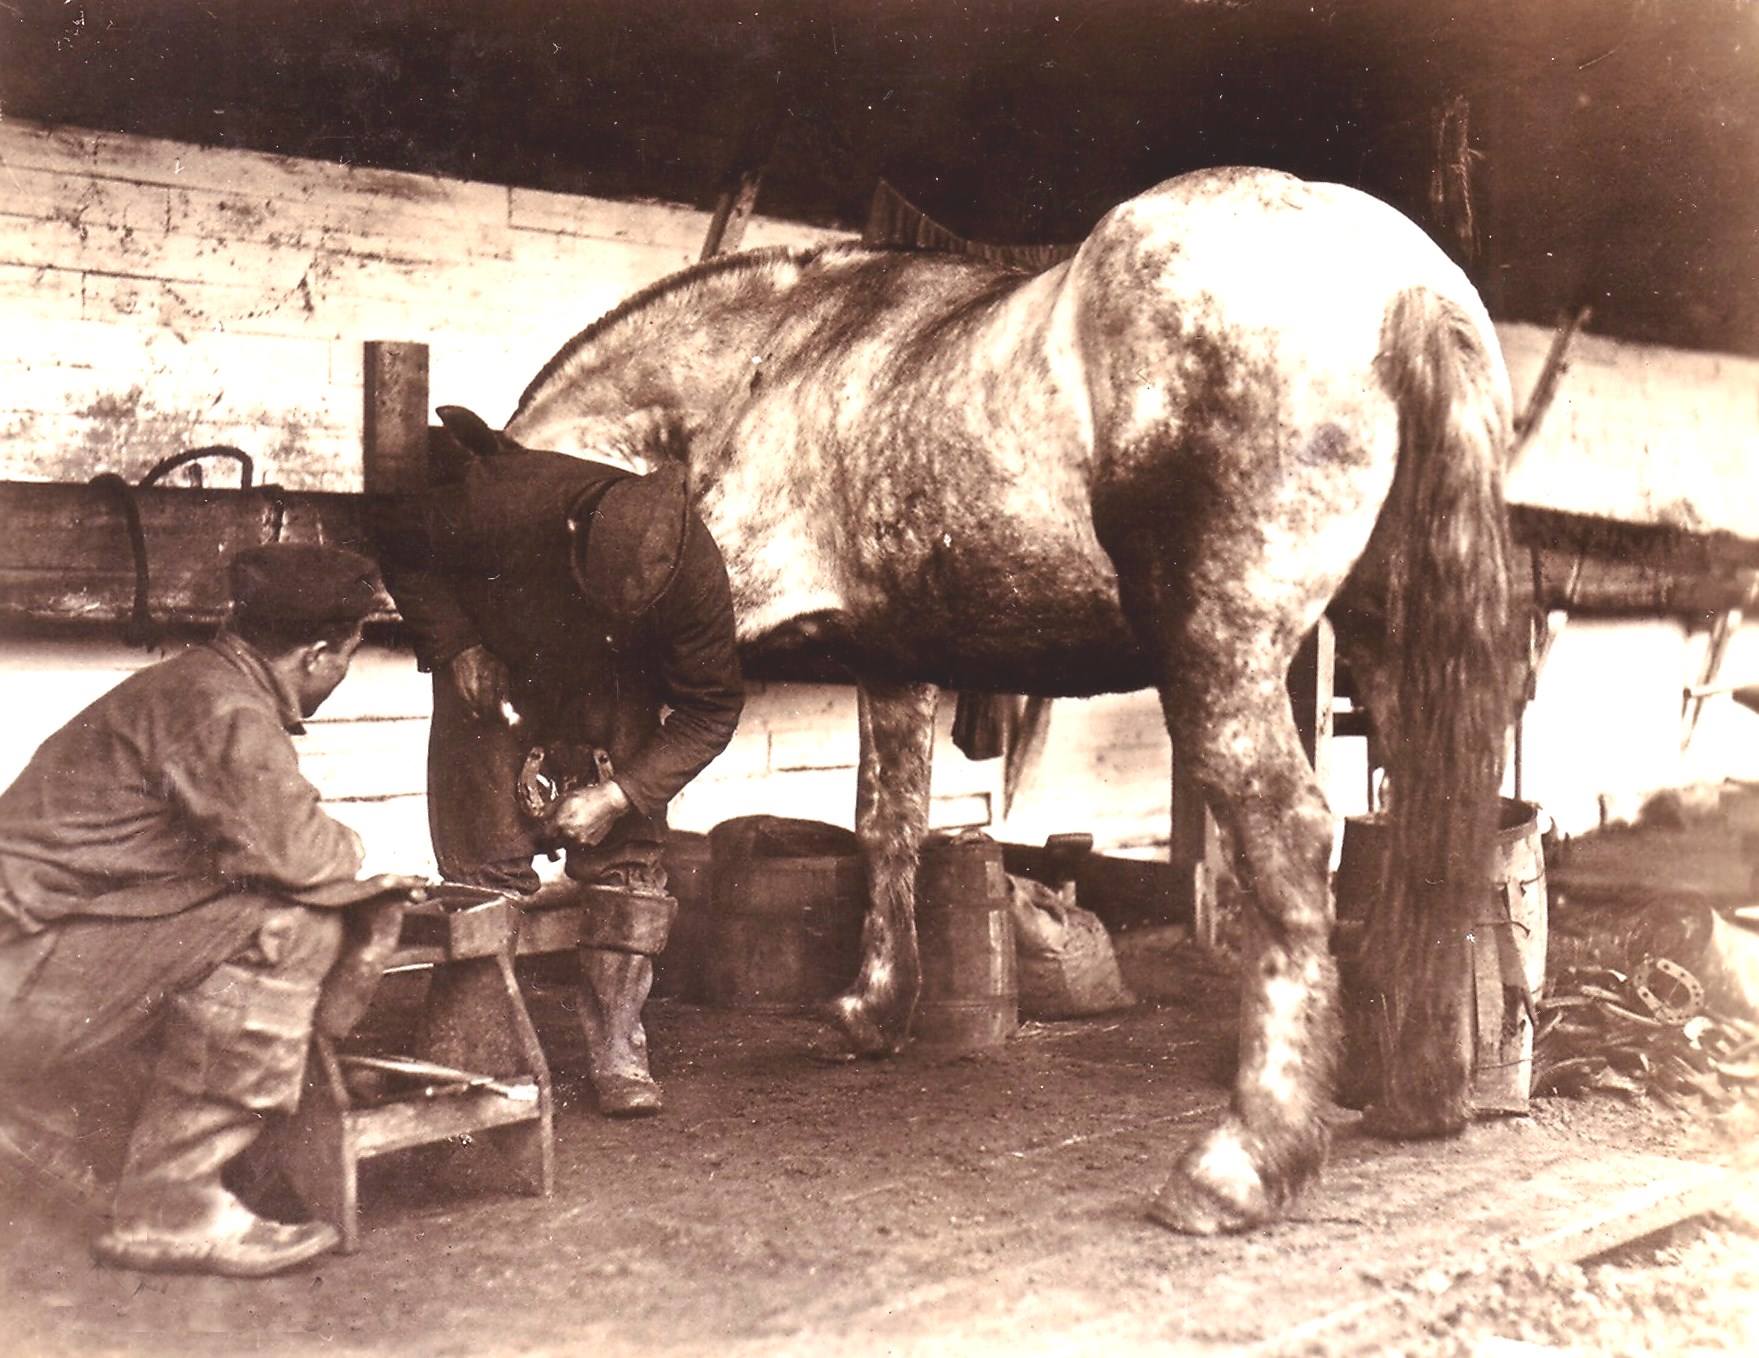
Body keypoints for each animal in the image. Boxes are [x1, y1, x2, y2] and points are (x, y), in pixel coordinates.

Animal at [448, 166, 1516, 1234]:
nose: (484, 696)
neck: (773, 364)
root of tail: (1404, 283)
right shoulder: (890, 663)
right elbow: (887, 827)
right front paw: (872, 1014)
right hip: (1392, 642)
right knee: (1428, 813)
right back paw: (1415, 1094)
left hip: (1226, 654)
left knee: (1290, 836)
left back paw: (1241, 1163)